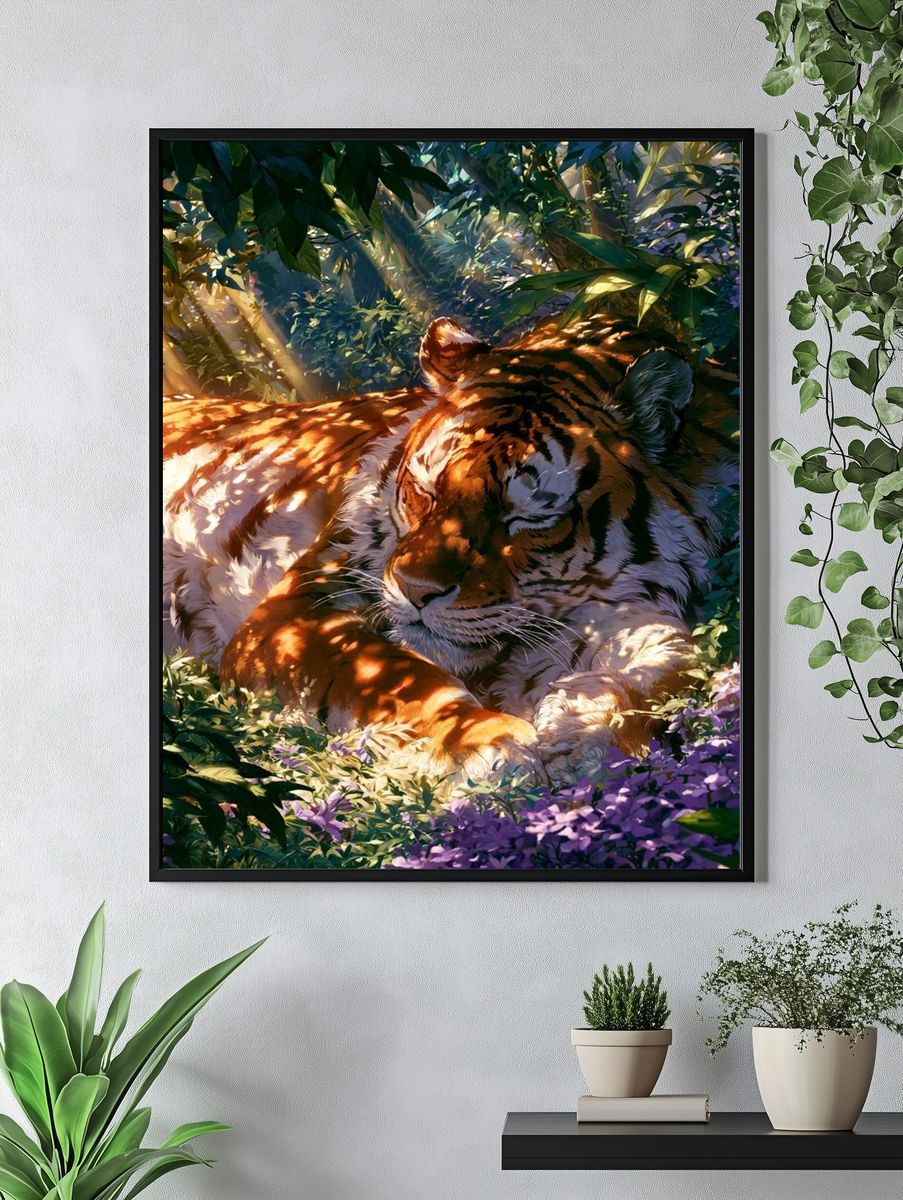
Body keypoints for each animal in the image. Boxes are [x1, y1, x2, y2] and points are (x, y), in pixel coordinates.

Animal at [163, 313, 738, 783]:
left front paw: (582, 727)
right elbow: (395, 677)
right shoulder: (296, 612)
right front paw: (492, 747)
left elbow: (673, 654)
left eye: (528, 517)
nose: (416, 591)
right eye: (425, 491)